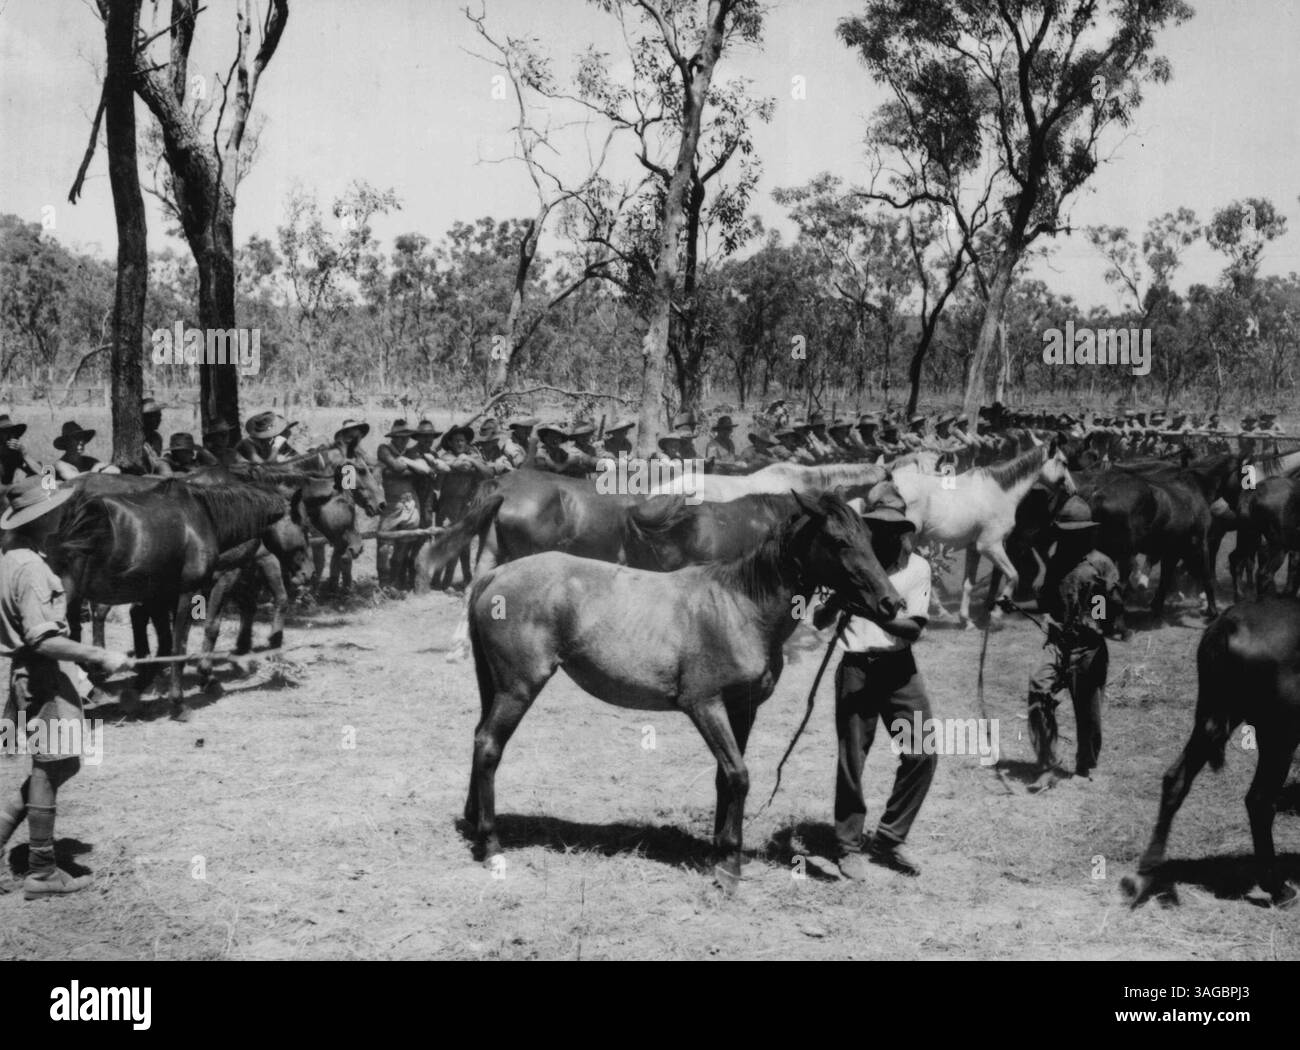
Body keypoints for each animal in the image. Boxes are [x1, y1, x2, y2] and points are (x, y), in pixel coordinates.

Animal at [49, 480, 292, 719]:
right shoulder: (200, 587)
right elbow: (188, 638)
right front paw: (186, 696)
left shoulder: (161, 594)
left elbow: (165, 642)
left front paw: (136, 690)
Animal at [462, 490, 904, 886]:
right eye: (838, 540)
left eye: (870, 539)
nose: (891, 603)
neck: (740, 607)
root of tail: (496, 575)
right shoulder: (705, 705)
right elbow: (739, 775)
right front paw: (729, 867)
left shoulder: (741, 709)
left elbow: (726, 776)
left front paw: (721, 850)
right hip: (519, 688)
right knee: (489, 745)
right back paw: (492, 846)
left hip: (494, 687)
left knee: (479, 739)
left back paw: (473, 824)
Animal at [891, 441, 1076, 626]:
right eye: (1064, 462)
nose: (1073, 490)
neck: (999, 492)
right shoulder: (990, 546)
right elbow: (1013, 576)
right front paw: (995, 616)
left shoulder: (974, 548)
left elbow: (969, 584)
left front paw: (966, 620)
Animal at [1124, 595, 1300, 909]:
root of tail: (1228, 624)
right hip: (1279, 735)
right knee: (1259, 800)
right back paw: (1278, 889)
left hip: (1210, 718)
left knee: (1176, 779)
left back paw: (1146, 871)